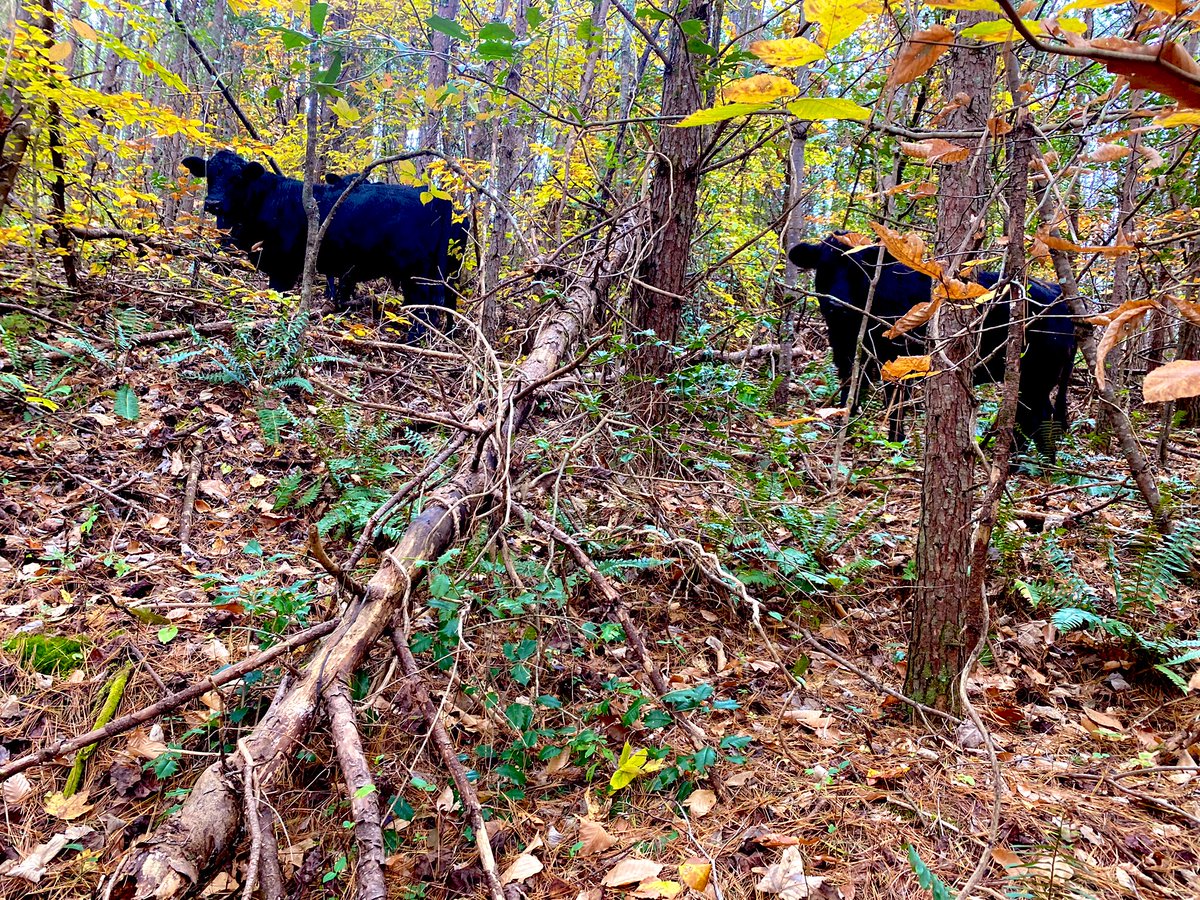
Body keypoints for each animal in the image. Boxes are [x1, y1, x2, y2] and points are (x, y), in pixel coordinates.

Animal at [182, 151, 466, 338]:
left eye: (238, 178)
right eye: (209, 174)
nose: (213, 203)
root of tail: (438, 198)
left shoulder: (283, 265)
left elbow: (278, 296)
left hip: (417, 272)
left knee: (426, 308)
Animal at [788, 233, 1076, 460]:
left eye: (860, 270)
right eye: (824, 267)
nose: (835, 303)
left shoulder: (899, 359)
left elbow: (895, 404)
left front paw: (895, 442)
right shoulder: (847, 356)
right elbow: (851, 395)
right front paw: (844, 433)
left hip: (1037, 376)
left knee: (1039, 417)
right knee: (1030, 417)